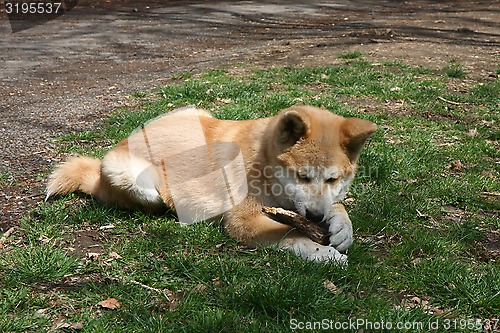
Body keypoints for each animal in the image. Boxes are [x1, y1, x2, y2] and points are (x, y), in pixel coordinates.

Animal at [46, 105, 376, 264]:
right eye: (302, 176)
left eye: (332, 179)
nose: (317, 217)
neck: (263, 164)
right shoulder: (243, 219)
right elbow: (290, 234)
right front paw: (324, 254)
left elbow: (338, 207)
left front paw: (342, 230)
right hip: (140, 183)